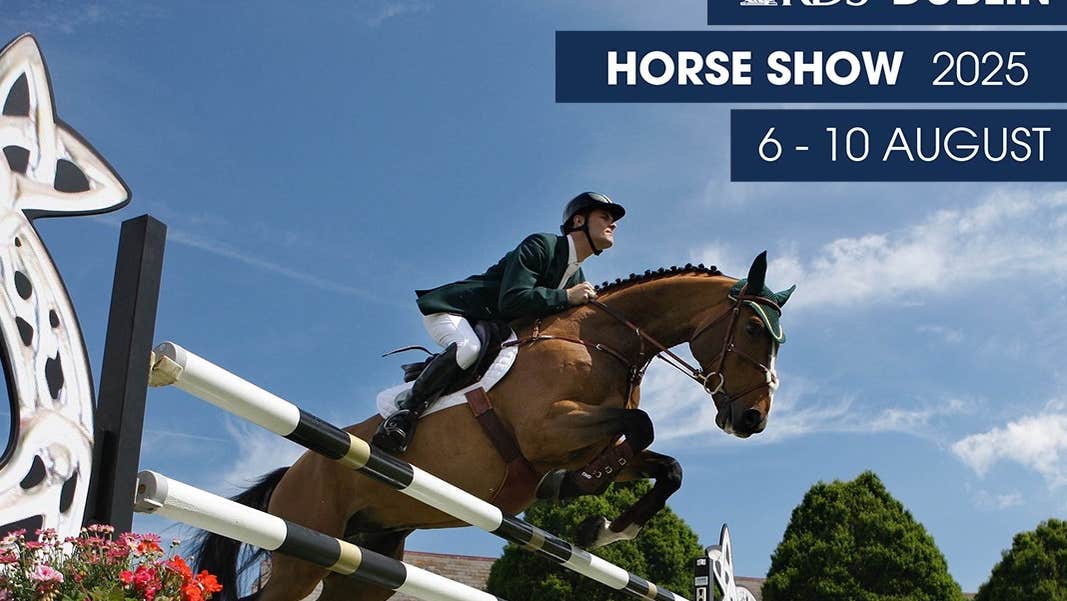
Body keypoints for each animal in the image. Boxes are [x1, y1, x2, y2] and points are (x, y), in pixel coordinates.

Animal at [195, 251, 795, 601]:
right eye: (752, 329)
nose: (752, 419)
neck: (602, 341)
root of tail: (294, 471)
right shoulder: (549, 429)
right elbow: (641, 425)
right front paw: (588, 507)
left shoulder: (589, 440)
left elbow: (665, 466)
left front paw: (601, 525)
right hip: (302, 553)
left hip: (365, 563)